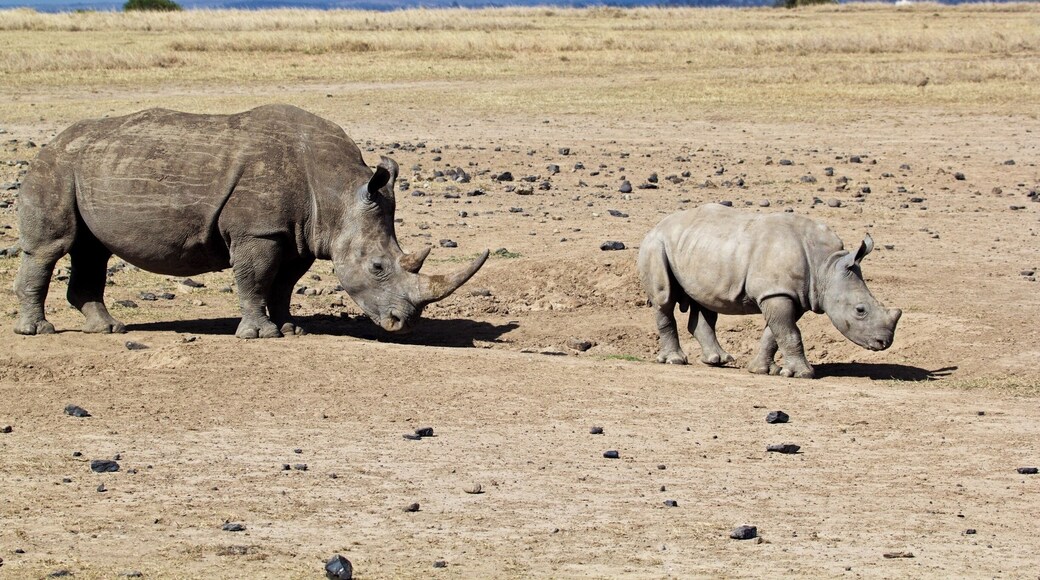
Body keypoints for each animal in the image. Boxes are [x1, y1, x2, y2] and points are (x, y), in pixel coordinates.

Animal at [14, 104, 488, 338]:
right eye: (377, 267)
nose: (402, 324)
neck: (337, 192)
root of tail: (52, 140)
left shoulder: (299, 234)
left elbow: (283, 283)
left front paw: (291, 328)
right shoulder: (258, 231)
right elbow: (255, 278)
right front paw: (260, 335)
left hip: (91, 165)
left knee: (92, 249)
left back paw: (109, 329)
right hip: (56, 165)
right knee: (53, 247)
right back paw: (38, 331)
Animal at [637, 203, 901, 378]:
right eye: (860, 310)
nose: (885, 342)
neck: (826, 266)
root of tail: (657, 225)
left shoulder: (791, 294)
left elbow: (775, 333)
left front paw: (763, 370)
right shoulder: (777, 293)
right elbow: (789, 333)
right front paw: (803, 374)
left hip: (698, 248)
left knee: (705, 303)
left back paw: (718, 360)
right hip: (656, 245)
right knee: (664, 299)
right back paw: (676, 361)